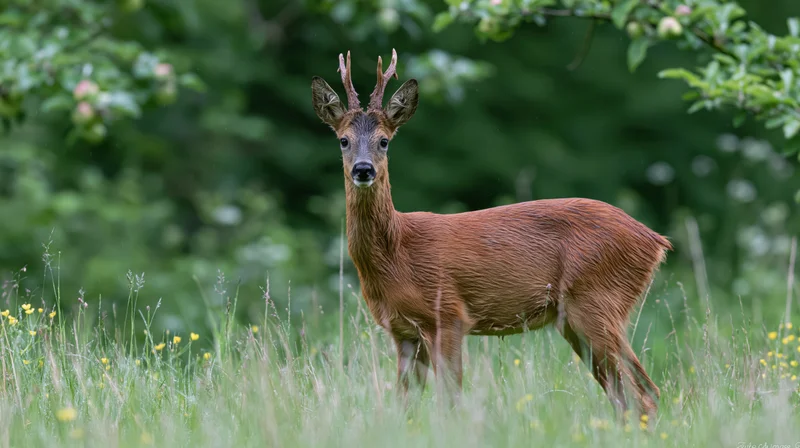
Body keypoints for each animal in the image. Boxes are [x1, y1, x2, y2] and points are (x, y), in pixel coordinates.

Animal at [310, 49, 671, 421]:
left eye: (384, 140)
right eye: (343, 140)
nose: (363, 169)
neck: (396, 254)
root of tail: (656, 240)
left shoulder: (448, 314)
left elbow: (451, 399)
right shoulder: (402, 330)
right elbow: (405, 404)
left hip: (598, 300)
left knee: (644, 392)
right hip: (578, 318)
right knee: (625, 394)